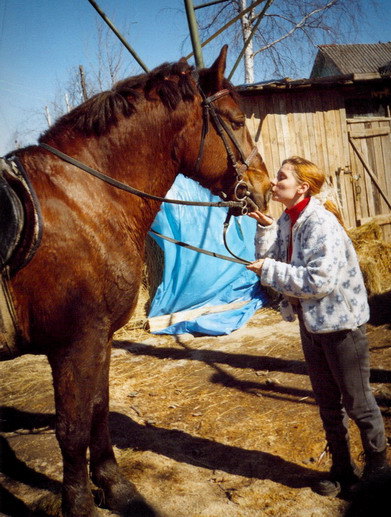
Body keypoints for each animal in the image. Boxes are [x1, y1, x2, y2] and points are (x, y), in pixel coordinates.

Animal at [2, 46, 270, 512]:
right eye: (236, 121)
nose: (266, 187)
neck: (83, 198)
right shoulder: (74, 343)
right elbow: (72, 429)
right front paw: (81, 504)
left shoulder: (99, 338)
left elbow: (98, 411)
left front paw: (115, 486)